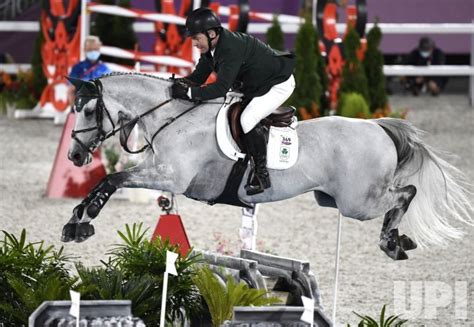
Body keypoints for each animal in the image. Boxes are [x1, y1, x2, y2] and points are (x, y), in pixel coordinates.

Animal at [64, 73, 474, 262]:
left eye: (89, 110)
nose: (74, 157)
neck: (171, 117)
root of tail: (378, 126)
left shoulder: (171, 177)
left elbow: (112, 178)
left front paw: (85, 220)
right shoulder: (160, 172)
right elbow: (108, 180)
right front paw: (74, 224)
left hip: (358, 203)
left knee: (405, 193)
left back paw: (393, 241)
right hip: (334, 199)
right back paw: (397, 240)